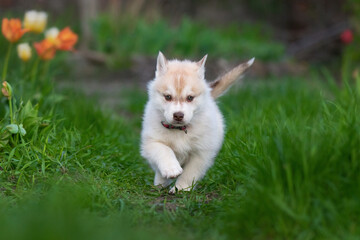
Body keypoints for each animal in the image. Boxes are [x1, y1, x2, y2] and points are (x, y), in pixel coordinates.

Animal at [140, 52, 253, 193]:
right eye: (168, 97)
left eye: (190, 98)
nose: (178, 115)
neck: (179, 130)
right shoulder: (151, 142)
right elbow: (164, 150)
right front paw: (171, 169)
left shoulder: (202, 153)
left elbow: (190, 173)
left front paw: (181, 188)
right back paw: (160, 182)